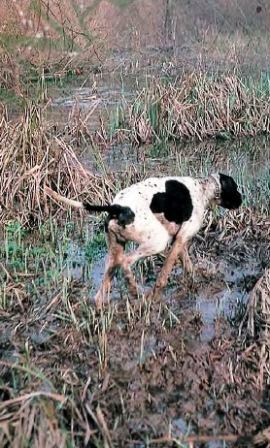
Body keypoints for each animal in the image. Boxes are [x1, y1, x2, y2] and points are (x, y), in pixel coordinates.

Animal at [45, 173, 242, 306]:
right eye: (235, 188)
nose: (242, 199)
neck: (202, 189)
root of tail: (118, 207)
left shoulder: (179, 240)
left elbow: (188, 265)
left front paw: (195, 281)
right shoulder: (178, 240)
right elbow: (163, 276)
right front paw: (156, 295)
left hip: (115, 250)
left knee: (105, 283)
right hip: (157, 241)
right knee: (126, 262)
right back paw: (134, 291)